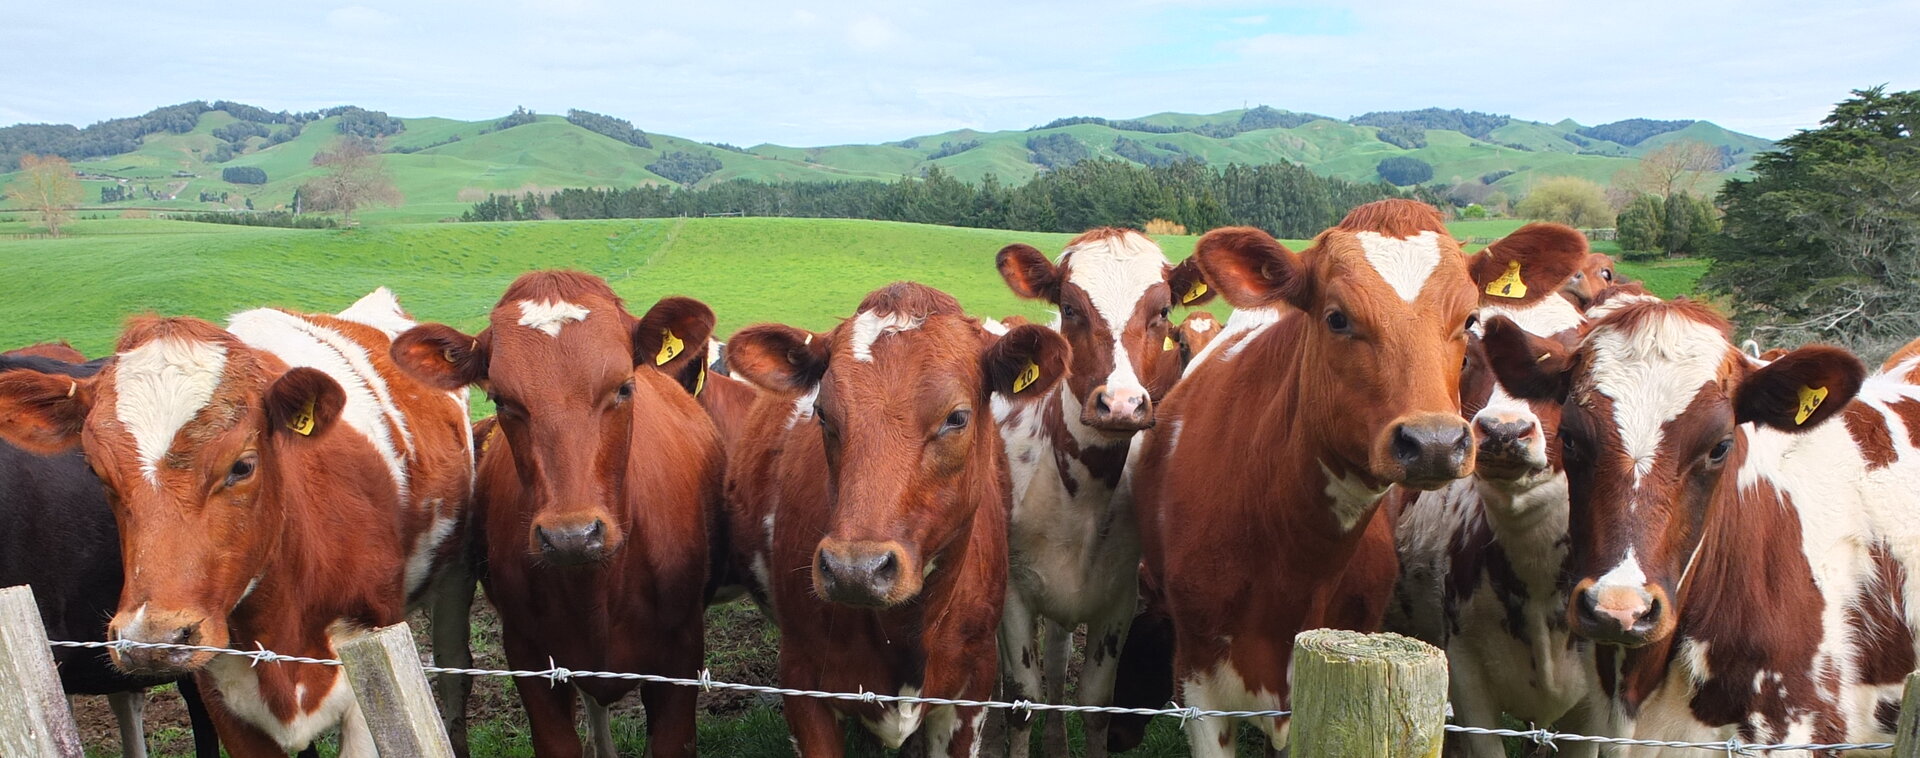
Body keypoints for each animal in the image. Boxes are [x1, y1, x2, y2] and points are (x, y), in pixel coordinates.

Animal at [989, 229, 1209, 758]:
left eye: (1163, 311)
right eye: (1070, 307)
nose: (1122, 405)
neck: (1080, 496)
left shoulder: (1119, 597)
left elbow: (1095, 701)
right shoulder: (1013, 594)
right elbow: (1022, 698)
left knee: (1056, 656)